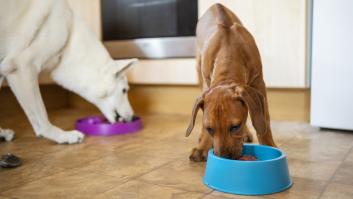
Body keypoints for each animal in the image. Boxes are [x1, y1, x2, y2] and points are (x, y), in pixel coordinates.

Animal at [0, 0, 136, 143]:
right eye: (124, 90)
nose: (133, 117)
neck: (69, 42)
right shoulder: (23, 68)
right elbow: (42, 117)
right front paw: (62, 136)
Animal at [186, 3, 276, 162]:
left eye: (235, 127)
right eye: (210, 128)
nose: (224, 158)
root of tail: (215, 5)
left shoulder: (259, 82)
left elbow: (263, 118)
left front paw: (269, 144)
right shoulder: (207, 84)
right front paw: (202, 146)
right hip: (198, 69)